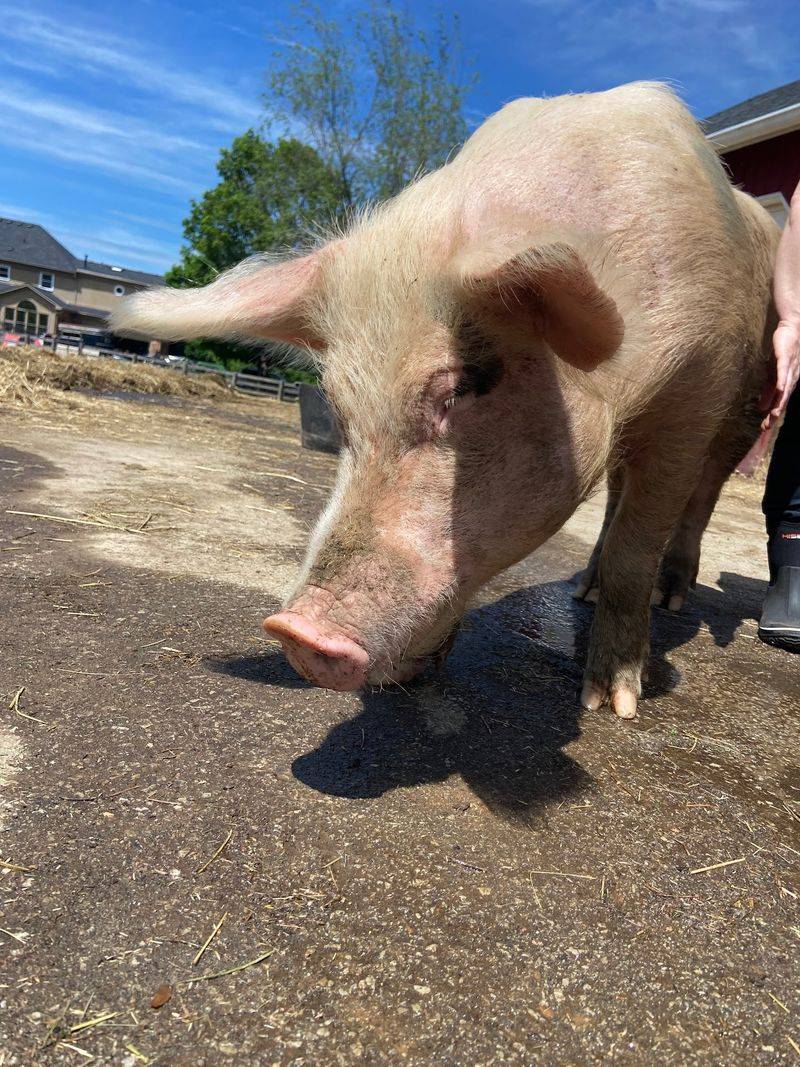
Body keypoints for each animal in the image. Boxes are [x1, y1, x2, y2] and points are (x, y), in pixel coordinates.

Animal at [114, 82, 778, 718]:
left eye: (455, 391)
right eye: (337, 406)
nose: (296, 632)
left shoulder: (696, 386)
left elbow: (635, 549)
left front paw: (612, 705)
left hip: (750, 399)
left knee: (704, 491)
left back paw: (671, 597)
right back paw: (581, 589)